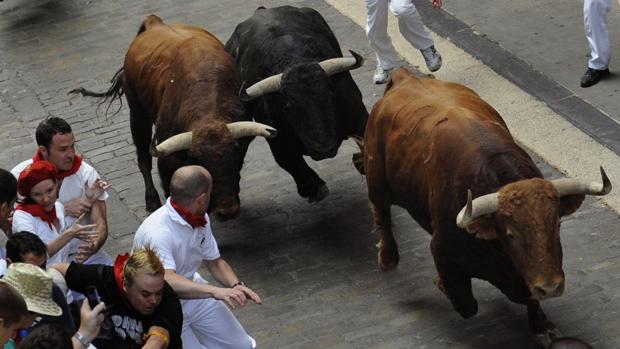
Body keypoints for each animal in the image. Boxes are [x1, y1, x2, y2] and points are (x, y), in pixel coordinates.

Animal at [71, 16, 274, 219]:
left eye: (236, 156)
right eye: (200, 162)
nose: (227, 211)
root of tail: (154, 21)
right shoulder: (167, 159)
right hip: (137, 115)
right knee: (143, 159)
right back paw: (151, 201)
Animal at [364, 66, 612, 344]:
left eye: (557, 225)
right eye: (511, 234)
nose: (550, 287)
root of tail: (404, 77)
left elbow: (528, 297)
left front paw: (541, 325)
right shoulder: (442, 251)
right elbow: (466, 305)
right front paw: (441, 285)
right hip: (376, 178)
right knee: (381, 212)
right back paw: (387, 257)